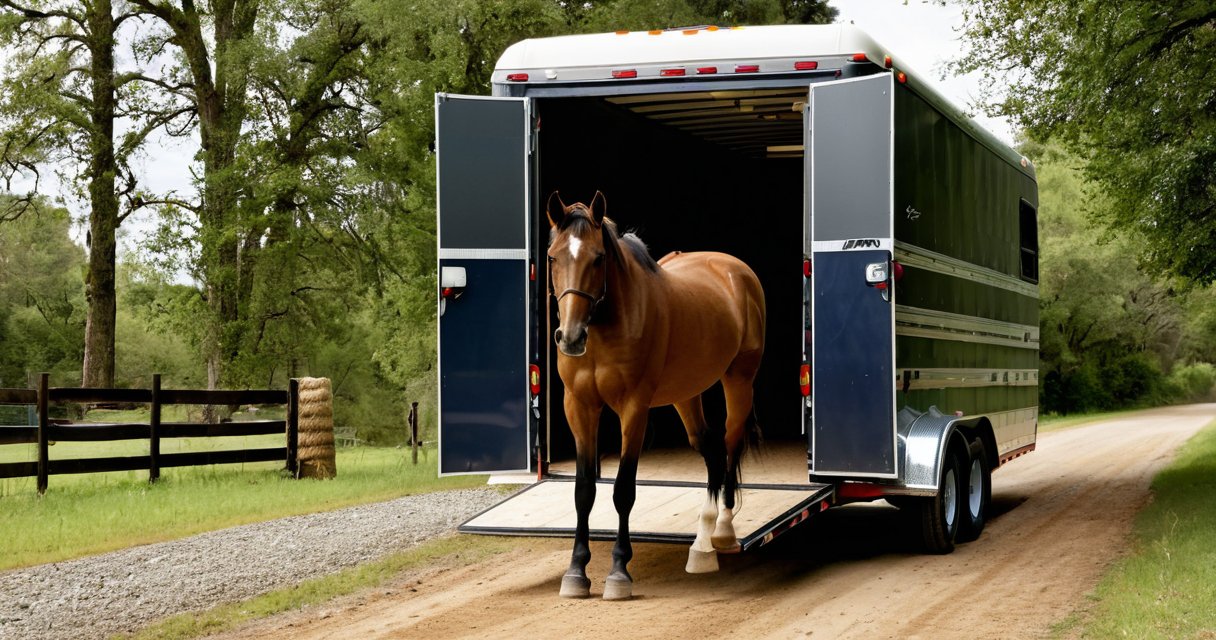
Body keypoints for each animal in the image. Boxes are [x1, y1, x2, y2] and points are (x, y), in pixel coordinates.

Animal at [546, 190, 766, 600]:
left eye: (598, 258)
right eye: (553, 256)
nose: (570, 337)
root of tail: (734, 269)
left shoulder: (634, 409)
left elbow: (623, 491)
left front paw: (619, 573)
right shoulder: (578, 407)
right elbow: (583, 491)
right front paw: (576, 572)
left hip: (739, 379)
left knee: (730, 443)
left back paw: (723, 531)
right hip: (686, 394)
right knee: (711, 449)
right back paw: (701, 547)